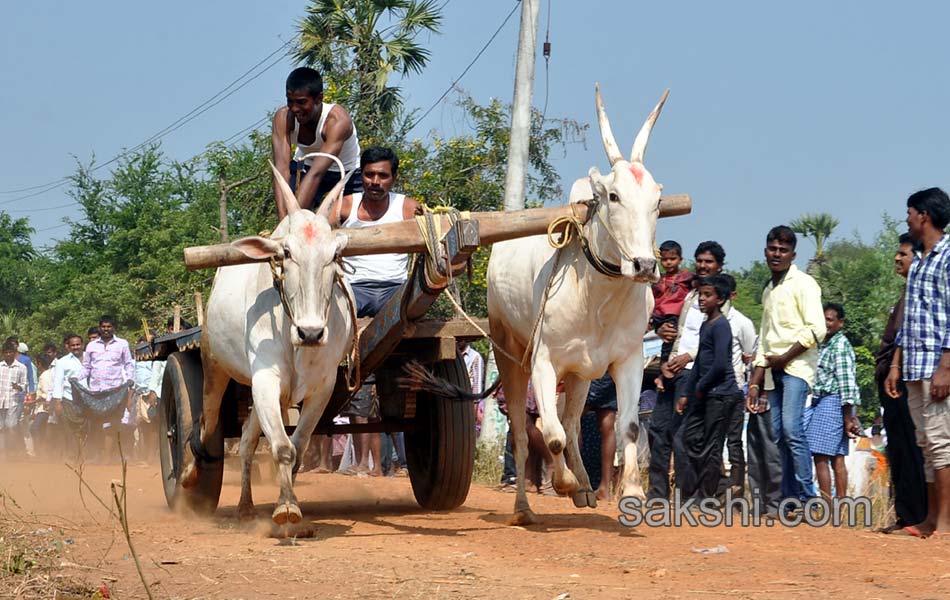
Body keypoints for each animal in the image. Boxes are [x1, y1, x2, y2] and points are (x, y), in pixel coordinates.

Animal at [180, 159, 356, 524]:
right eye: (286, 252)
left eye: (334, 255)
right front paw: (287, 506)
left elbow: (296, 446)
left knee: (247, 440)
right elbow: (283, 448)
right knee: (206, 425)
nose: (311, 332)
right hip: (214, 366)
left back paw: (246, 505)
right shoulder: (265, 377)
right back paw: (190, 474)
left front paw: (287, 502)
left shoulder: (324, 386)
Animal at [490, 85, 668, 524]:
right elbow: (548, 435)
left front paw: (631, 492)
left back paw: (587, 487)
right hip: (509, 353)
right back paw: (526, 507)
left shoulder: (629, 359)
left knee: (571, 423)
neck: (597, 296)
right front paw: (563, 483)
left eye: (658, 200)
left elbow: (628, 427)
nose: (645, 265)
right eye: (613, 196)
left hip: (581, 374)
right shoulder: (543, 362)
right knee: (524, 436)